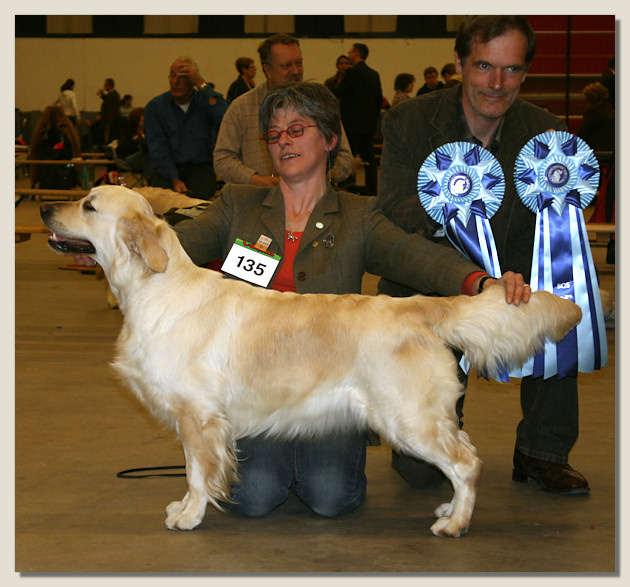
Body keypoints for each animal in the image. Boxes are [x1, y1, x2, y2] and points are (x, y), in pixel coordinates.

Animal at [40, 185, 582, 537]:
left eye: (88, 205)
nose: (45, 207)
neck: (155, 288)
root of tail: (419, 306)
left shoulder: (198, 415)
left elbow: (196, 471)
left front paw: (189, 515)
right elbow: (196, 469)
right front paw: (187, 506)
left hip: (407, 418)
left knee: (467, 462)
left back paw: (455, 523)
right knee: (463, 455)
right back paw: (448, 507)